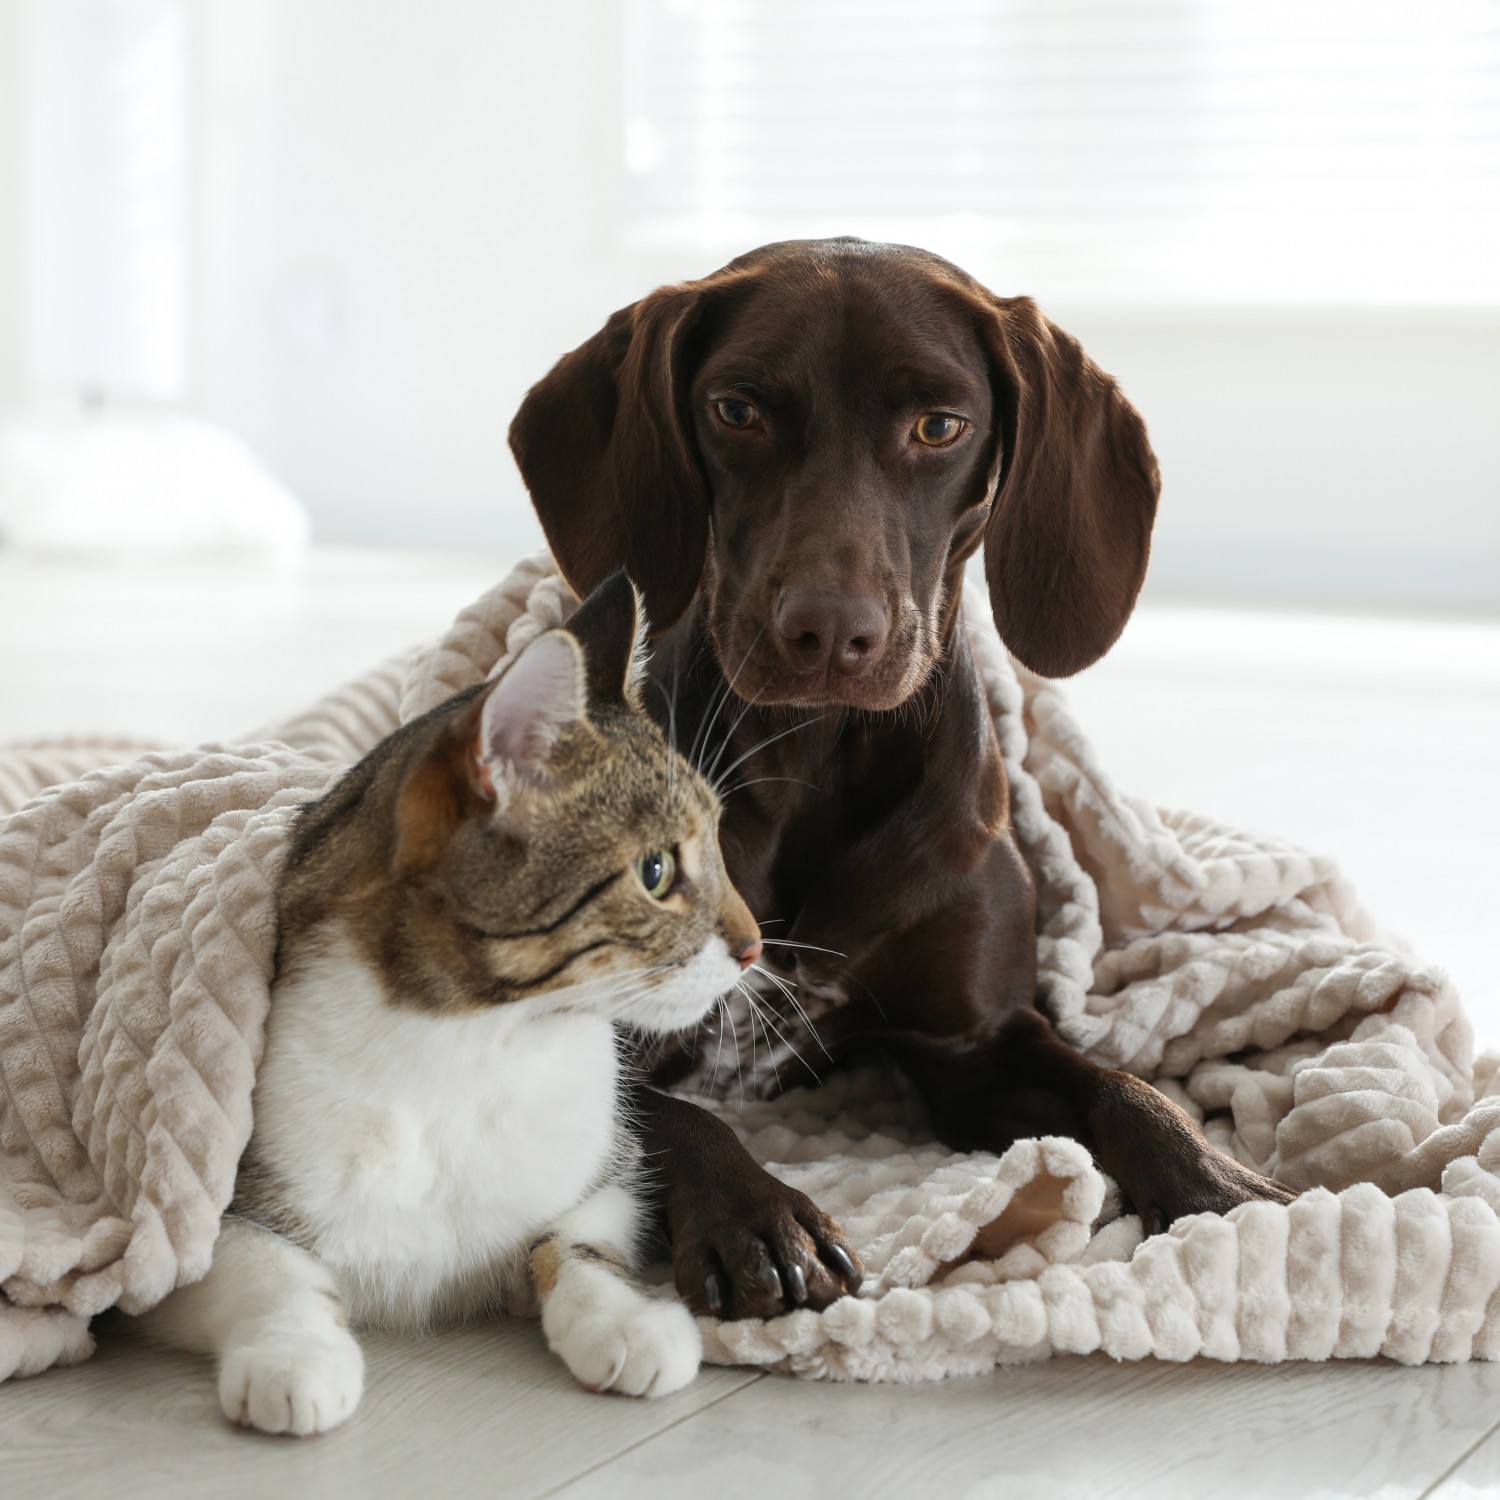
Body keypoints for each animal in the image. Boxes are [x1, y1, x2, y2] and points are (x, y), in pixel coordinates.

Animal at [136, 570, 762, 1428]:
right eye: (657, 872)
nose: (755, 944)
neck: (478, 1047)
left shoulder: (607, 1169)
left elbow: (576, 1241)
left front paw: (626, 1320)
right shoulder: (192, 1226)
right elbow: (267, 1267)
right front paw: (295, 1356)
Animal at [513, 228, 1290, 1320]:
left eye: (939, 425)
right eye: (737, 410)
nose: (830, 632)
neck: (817, 756)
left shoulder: (973, 1053)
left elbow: (1123, 1089)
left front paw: (1221, 1182)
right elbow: (676, 1117)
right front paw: (760, 1215)